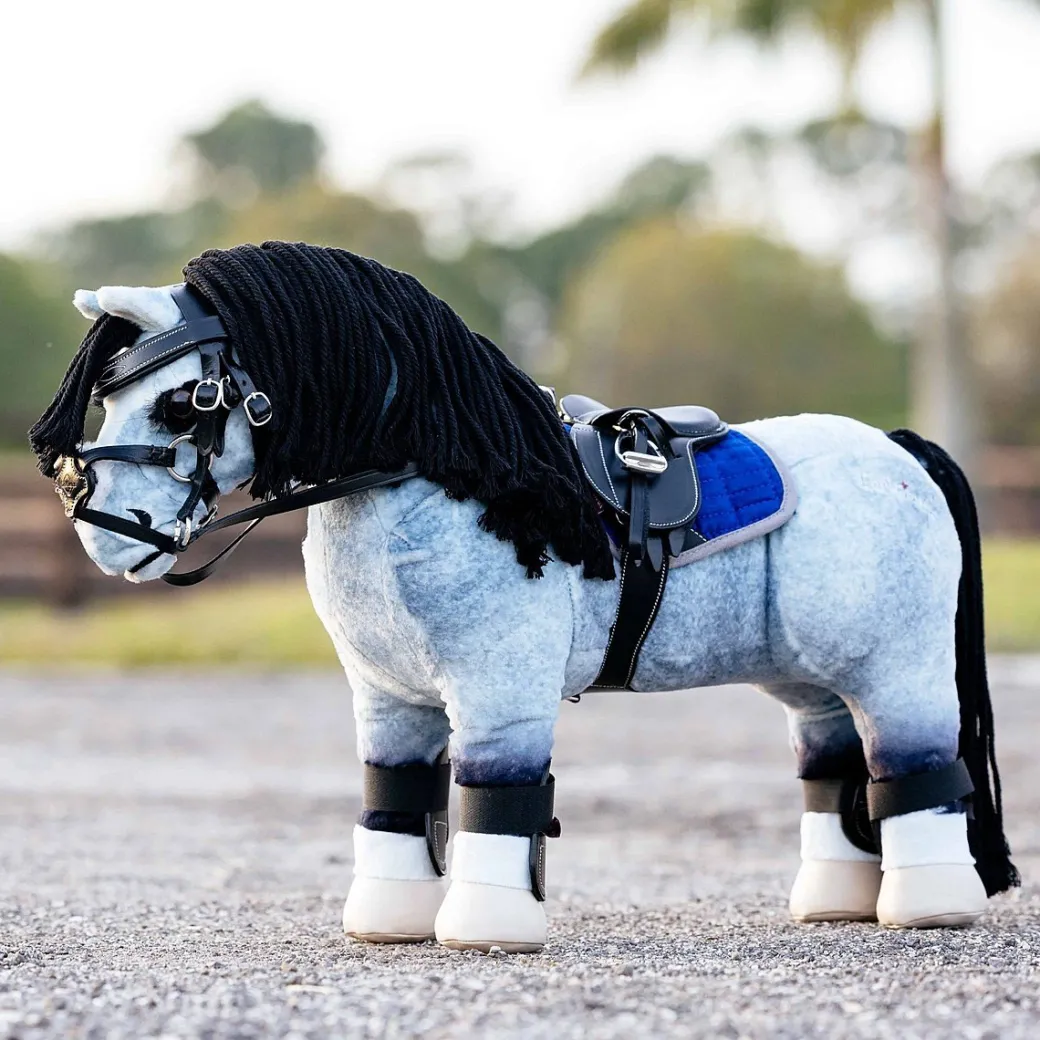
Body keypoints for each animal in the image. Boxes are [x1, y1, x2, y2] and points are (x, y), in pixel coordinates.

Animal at [30, 241, 1017, 954]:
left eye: (182, 403)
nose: (102, 529)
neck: (443, 473)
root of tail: (897, 448)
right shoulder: (388, 699)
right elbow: (395, 796)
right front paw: (390, 922)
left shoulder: (499, 691)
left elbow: (492, 796)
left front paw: (485, 931)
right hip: (811, 679)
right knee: (834, 764)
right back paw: (835, 905)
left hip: (897, 666)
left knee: (915, 767)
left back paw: (928, 906)